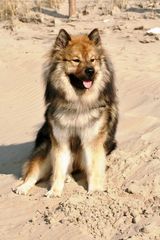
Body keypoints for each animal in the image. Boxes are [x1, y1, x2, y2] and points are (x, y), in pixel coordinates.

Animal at [13, 28, 118, 197]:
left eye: (92, 60)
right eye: (76, 60)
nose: (91, 71)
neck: (78, 103)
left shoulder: (92, 141)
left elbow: (94, 168)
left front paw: (95, 191)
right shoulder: (60, 141)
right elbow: (58, 170)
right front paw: (55, 191)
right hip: (46, 149)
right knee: (33, 174)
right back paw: (23, 187)